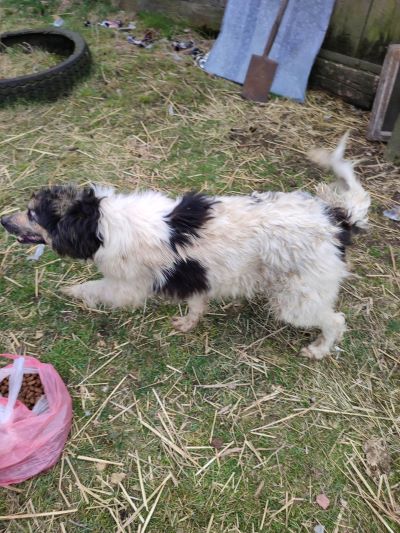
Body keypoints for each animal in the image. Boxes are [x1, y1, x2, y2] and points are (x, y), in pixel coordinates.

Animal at [1, 134, 370, 359]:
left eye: (32, 214)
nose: (4, 220)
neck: (100, 223)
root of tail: (338, 220)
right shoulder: (195, 276)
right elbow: (196, 304)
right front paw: (189, 323)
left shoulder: (125, 287)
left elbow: (89, 288)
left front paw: (68, 291)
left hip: (297, 300)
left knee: (335, 320)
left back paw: (318, 349)